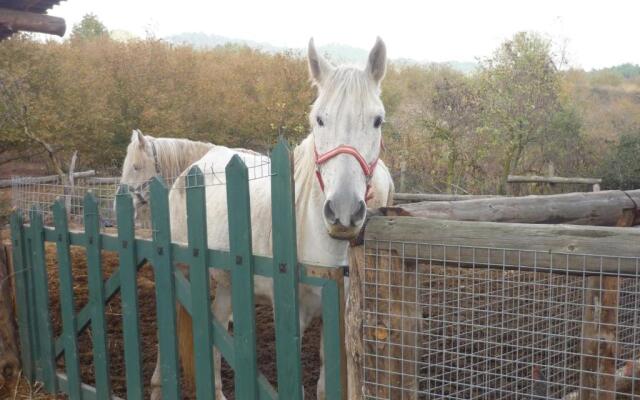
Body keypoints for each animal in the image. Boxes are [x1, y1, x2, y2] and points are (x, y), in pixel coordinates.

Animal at [155, 38, 396, 400]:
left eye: (377, 120)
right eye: (318, 119)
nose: (342, 212)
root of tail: (193, 168)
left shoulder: (336, 313)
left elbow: (324, 384)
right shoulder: (293, 316)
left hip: (227, 282)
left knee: (216, 325)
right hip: (180, 269)